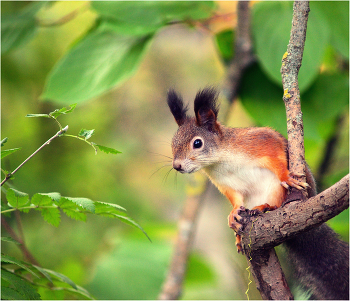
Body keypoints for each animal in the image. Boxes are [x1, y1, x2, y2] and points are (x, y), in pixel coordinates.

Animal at [166, 86, 348, 298]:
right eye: (173, 143)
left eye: (197, 143)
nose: (177, 166)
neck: (219, 161)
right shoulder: (225, 183)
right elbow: (235, 199)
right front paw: (233, 215)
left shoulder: (260, 141)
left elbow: (277, 156)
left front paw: (286, 176)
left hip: (275, 190)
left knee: (277, 204)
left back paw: (265, 207)